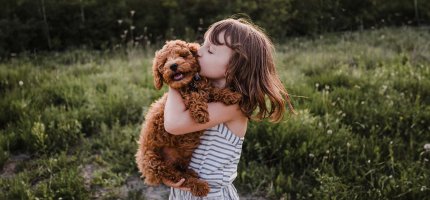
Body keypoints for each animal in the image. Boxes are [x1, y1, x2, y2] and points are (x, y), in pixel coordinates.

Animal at [135, 39, 242, 196]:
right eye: (165, 61)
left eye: (182, 55)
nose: (173, 65)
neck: (189, 84)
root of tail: (147, 173)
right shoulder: (185, 99)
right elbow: (194, 97)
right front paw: (201, 113)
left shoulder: (204, 89)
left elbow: (213, 91)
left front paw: (231, 95)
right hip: (155, 162)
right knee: (178, 177)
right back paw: (199, 185)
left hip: (182, 156)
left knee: (181, 171)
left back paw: (192, 173)